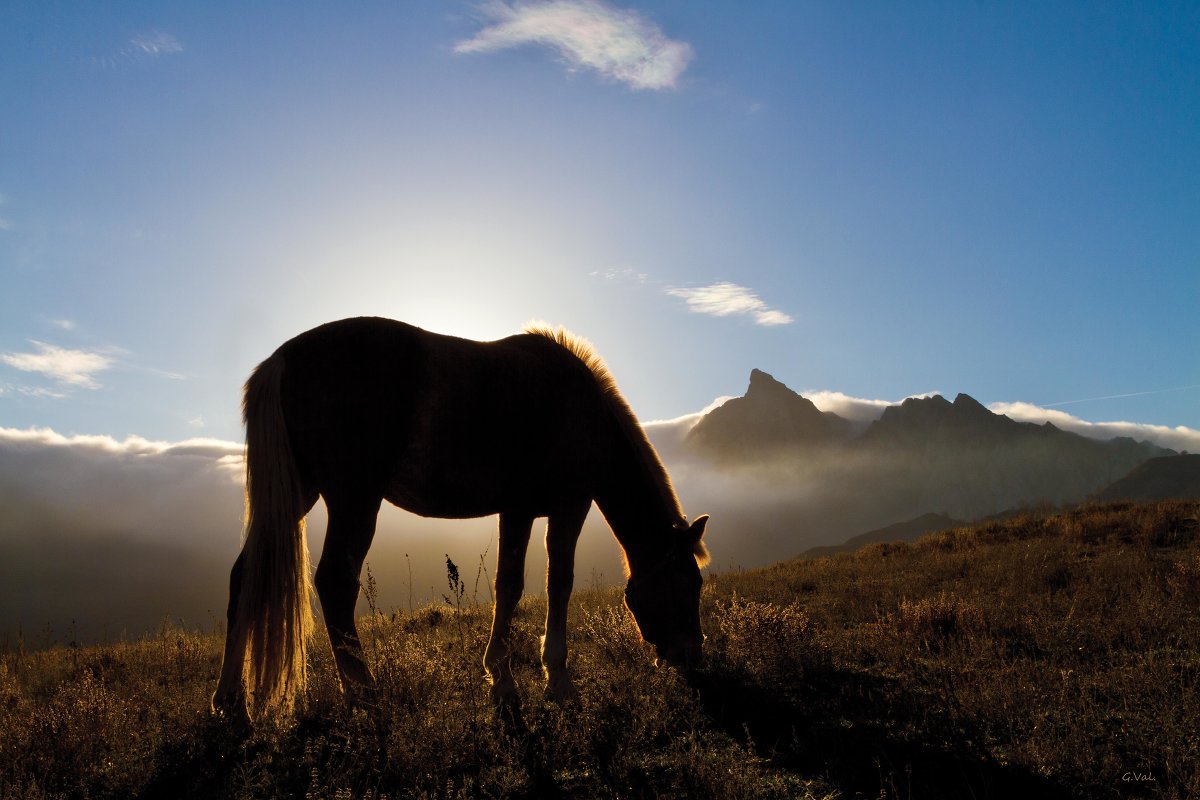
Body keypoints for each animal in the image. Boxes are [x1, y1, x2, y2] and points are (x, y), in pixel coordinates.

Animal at [211, 316, 705, 724]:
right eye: (688, 584)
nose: (694, 661)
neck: (578, 411)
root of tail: (281, 360)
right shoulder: (564, 507)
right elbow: (550, 583)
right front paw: (548, 683)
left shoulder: (519, 512)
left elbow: (511, 586)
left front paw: (505, 681)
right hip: (354, 500)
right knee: (335, 583)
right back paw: (365, 697)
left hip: (300, 494)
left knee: (245, 577)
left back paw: (231, 702)